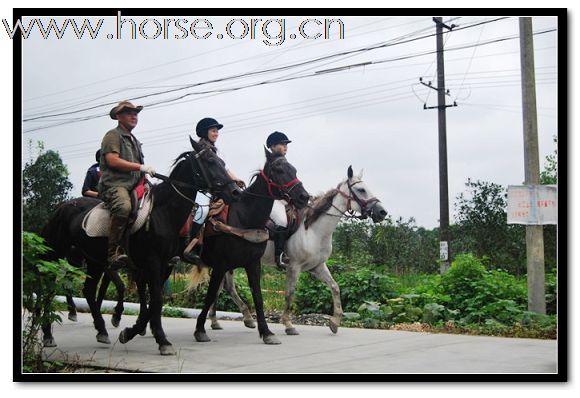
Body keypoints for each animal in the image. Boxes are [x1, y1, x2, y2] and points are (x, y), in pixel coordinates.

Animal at [206, 166, 388, 336]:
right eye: (361, 190)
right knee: (223, 287)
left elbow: (335, 287)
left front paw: (335, 321)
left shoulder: (317, 267)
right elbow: (290, 293)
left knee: (224, 287)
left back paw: (225, 320)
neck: (313, 230)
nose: (382, 212)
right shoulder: (294, 266)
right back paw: (235, 318)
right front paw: (288, 324)